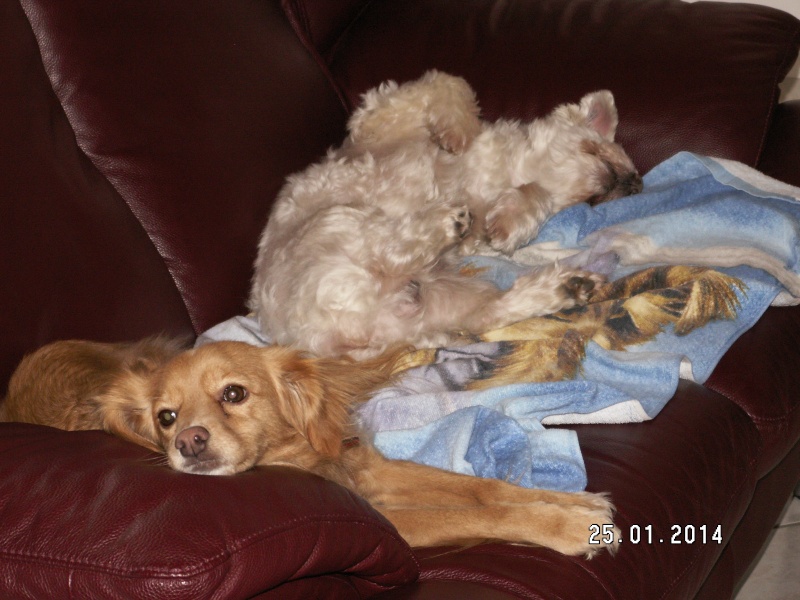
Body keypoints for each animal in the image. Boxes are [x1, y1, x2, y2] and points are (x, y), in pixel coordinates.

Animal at [1, 338, 620, 552]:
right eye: (166, 417)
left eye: (234, 393)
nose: (188, 442)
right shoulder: (387, 514)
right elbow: (474, 513)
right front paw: (565, 527)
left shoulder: (373, 472)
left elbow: (483, 489)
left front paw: (573, 503)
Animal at [252, 72, 644, 358]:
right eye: (600, 150)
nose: (636, 183)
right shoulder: (381, 113)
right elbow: (449, 82)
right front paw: (459, 132)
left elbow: (530, 196)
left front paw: (510, 221)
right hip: (336, 224)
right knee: (390, 249)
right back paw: (445, 221)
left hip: (440, 290)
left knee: (483, 311)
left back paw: (563, 285)